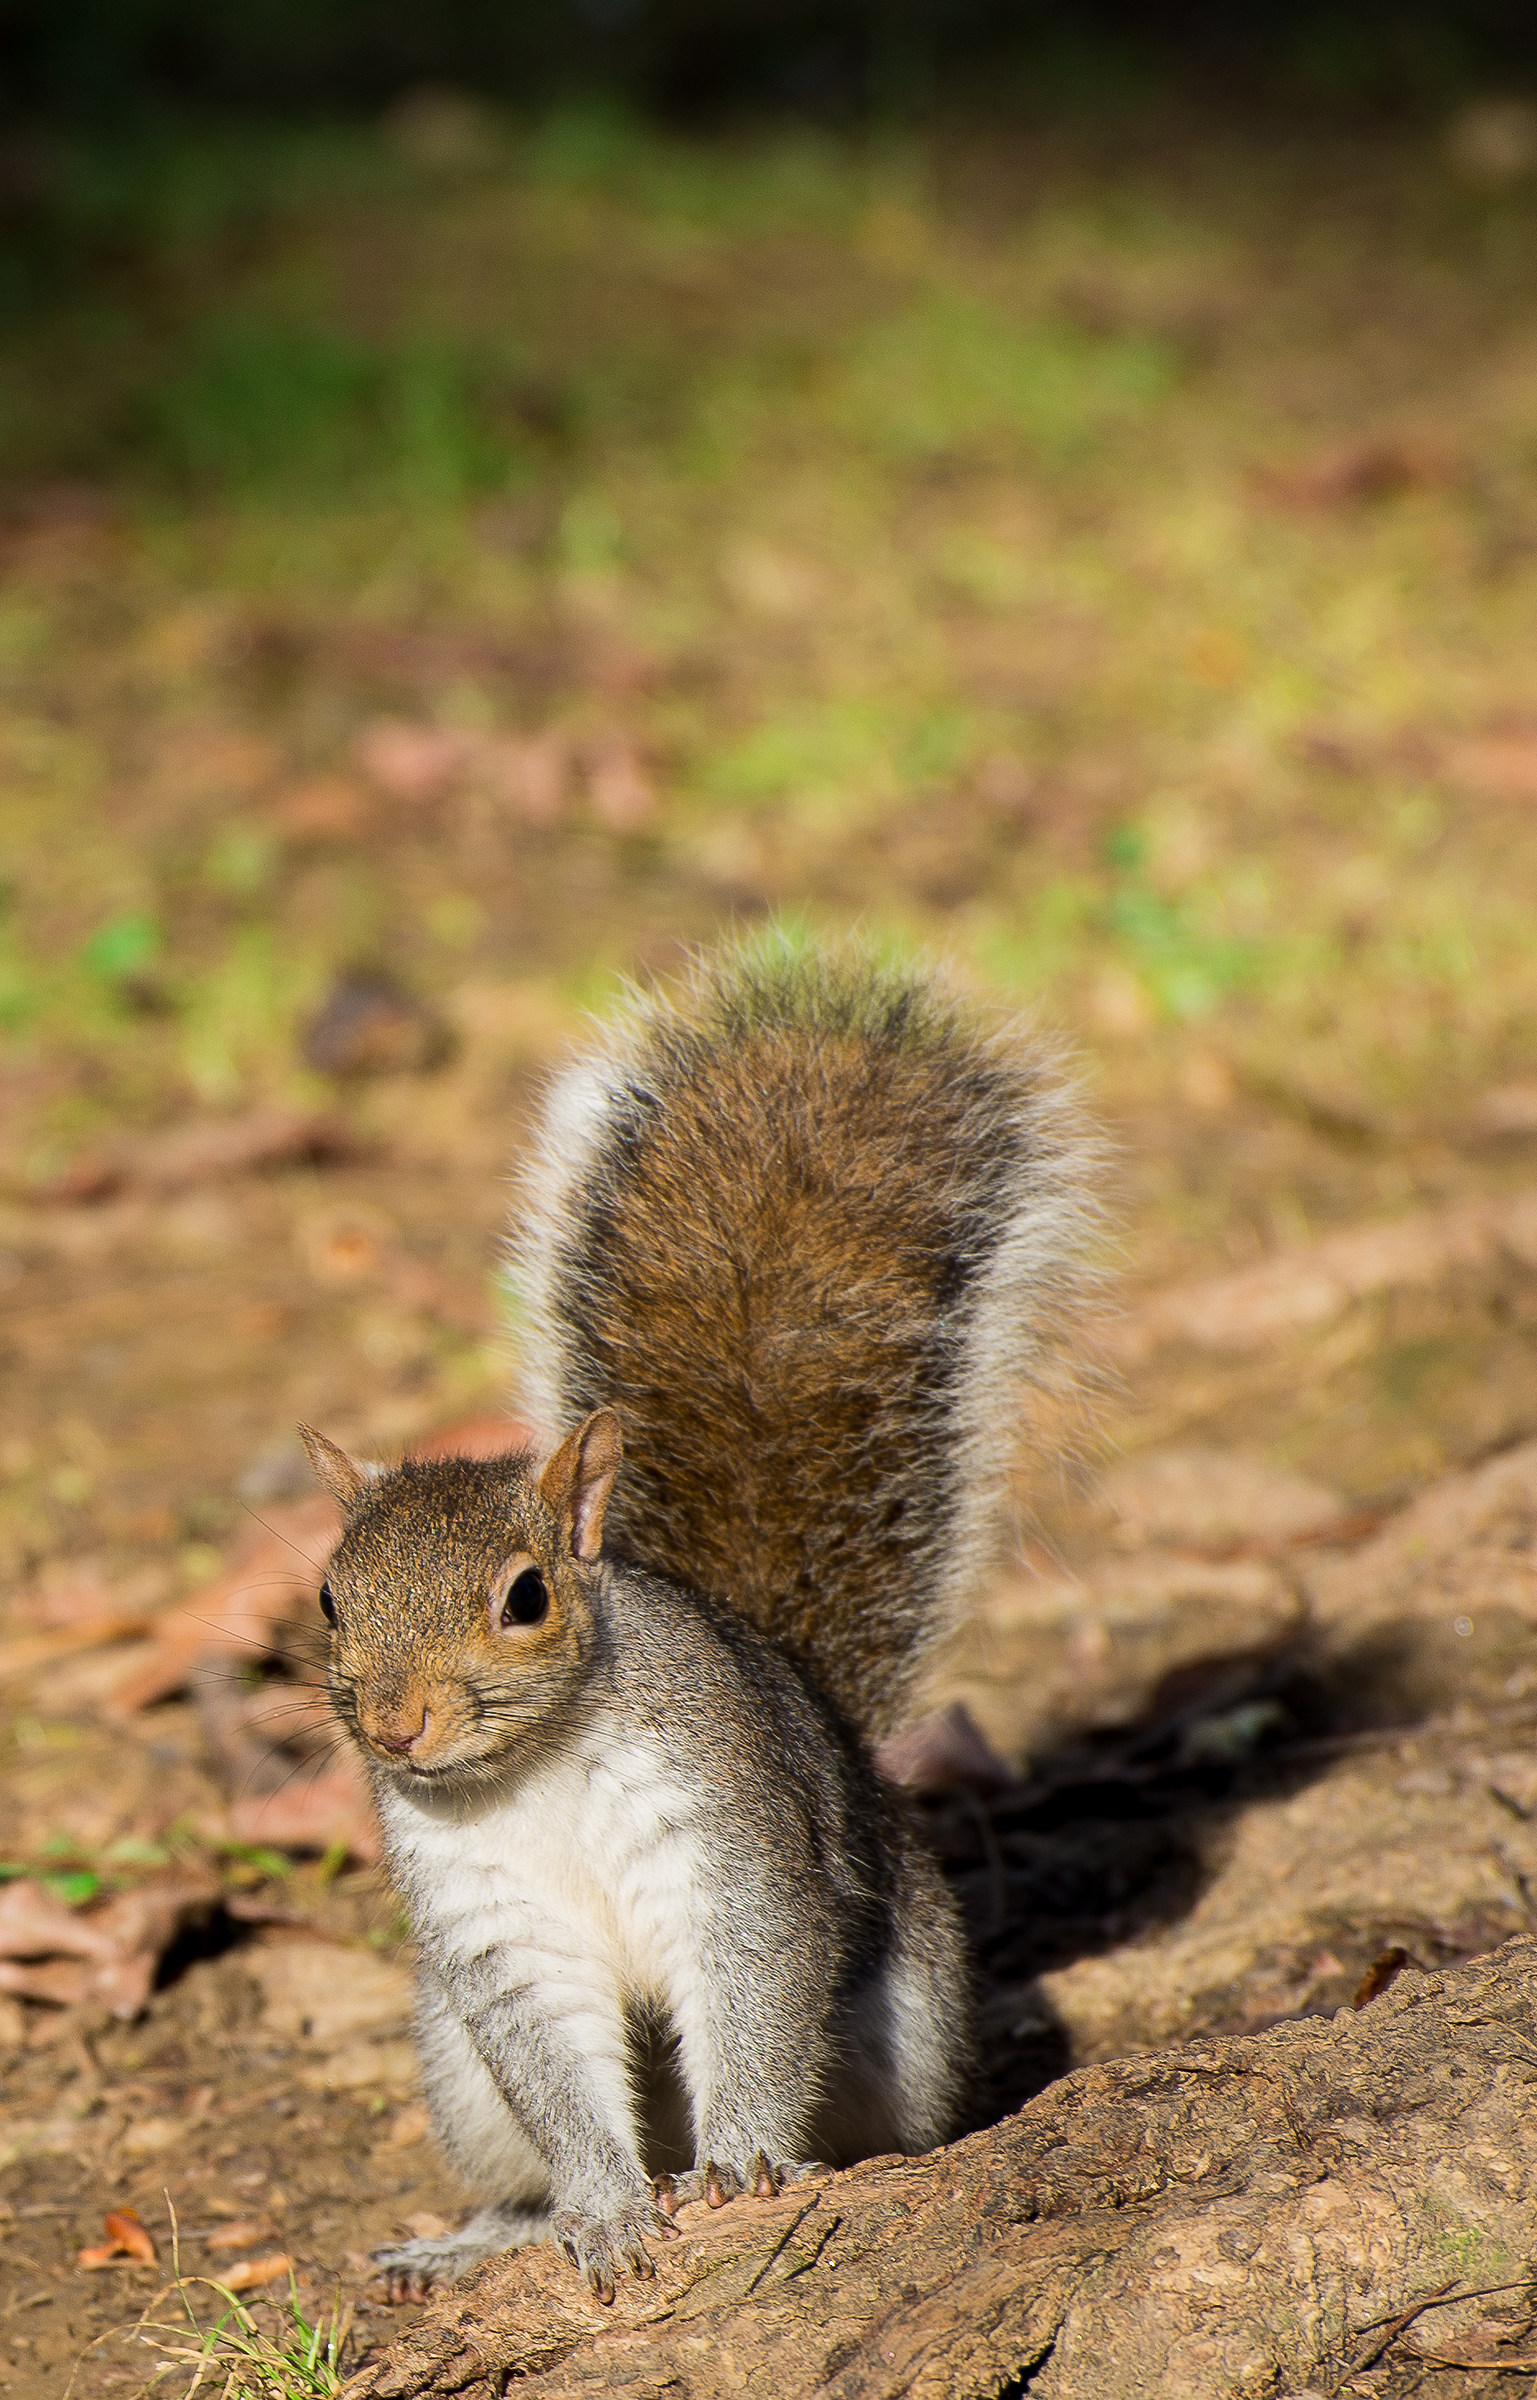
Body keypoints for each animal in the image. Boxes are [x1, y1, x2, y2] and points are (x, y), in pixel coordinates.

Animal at [299, 930, 1100, 2303]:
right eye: (328, 1597)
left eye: (525, 1598)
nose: (398, 1727)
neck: (536, 1766)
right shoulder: (493, 1927)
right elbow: (558, 2073)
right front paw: (605, 2209)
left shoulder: (728, 1838)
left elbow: (754, 1988)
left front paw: (740, 2163)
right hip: (454, 2063)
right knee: (512, 2161)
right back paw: (481, 2238)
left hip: (906, 2018)